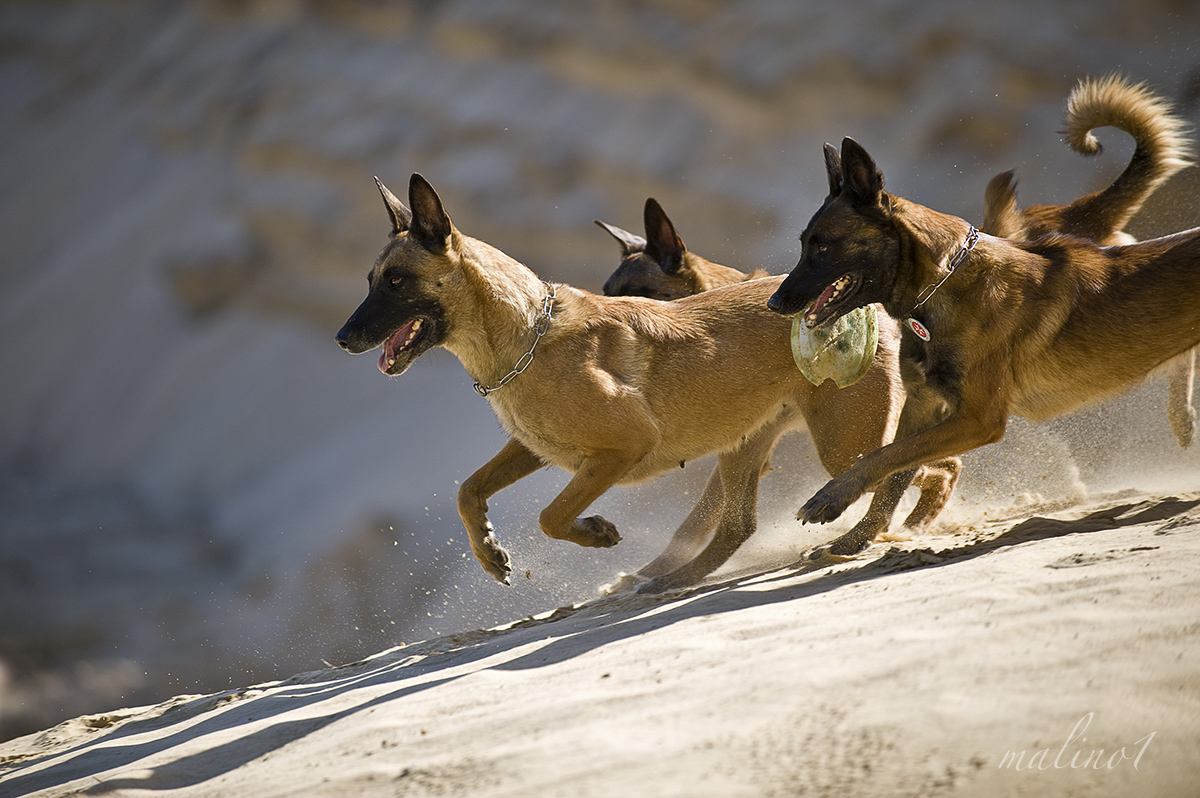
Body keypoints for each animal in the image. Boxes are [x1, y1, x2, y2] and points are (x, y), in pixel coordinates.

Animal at [336, 171, 945, 588]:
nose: (343, 338)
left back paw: (881, 532)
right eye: (370, 279)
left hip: (842, 446)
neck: (528, 330)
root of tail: (867, 302)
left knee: (911, 468)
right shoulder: (533, 447)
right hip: (748, 445)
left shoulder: (621, 448)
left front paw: (593, 533)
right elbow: (468, 489)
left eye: (396, 281)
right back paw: (672, 580)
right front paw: (488, 551)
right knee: (739, 526)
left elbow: (551, 515)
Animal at [763, 138, 1200, 535]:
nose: (774, 301)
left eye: (822, 246)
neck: (941, 284)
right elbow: (895, 472)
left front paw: (832, 499)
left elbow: (885, 456)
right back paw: (1183, 419)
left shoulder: (977, 418)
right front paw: (858, 538)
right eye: (803, 244)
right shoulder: (921, 404)